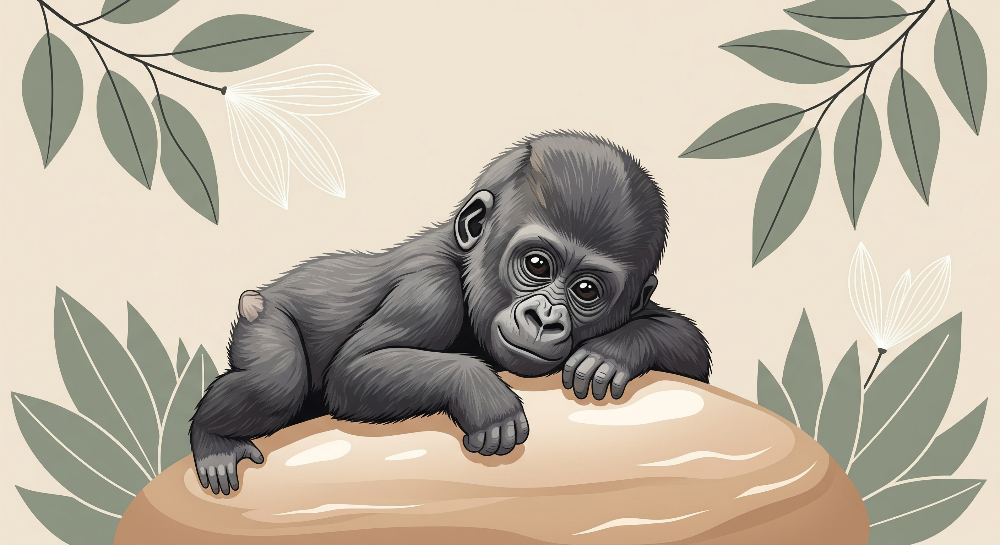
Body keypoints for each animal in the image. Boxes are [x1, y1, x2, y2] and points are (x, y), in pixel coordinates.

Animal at [190, 131, 711, 495]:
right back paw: (213, 441)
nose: (545, 319)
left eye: (586, 290)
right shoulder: (429, 289)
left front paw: (612, 352)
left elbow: (689, 351)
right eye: (537, 265)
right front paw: (482, 394)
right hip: (262, 317)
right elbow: (355, 370)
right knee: (274, 383)